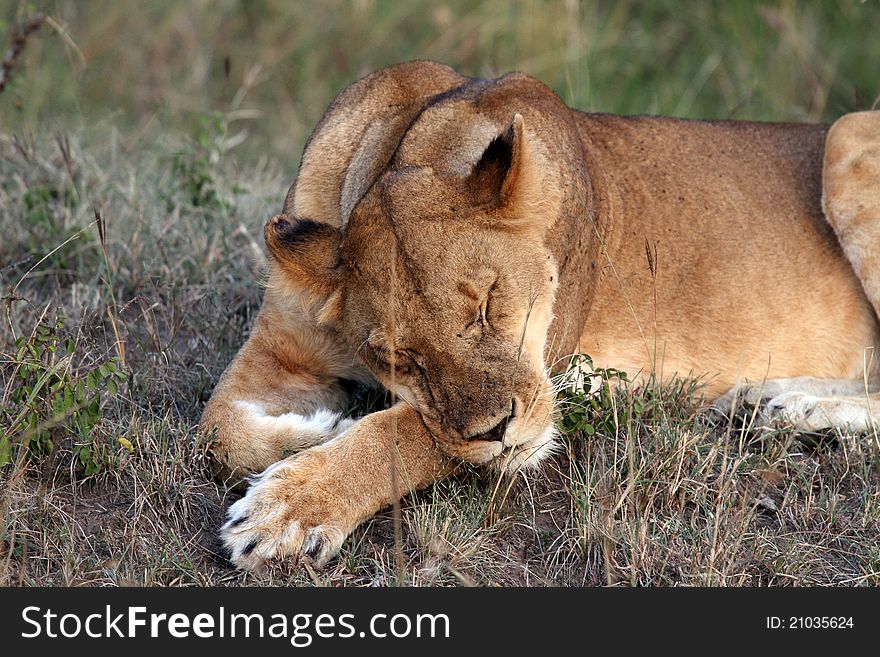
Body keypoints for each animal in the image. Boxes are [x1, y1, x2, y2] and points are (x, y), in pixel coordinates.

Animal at [199, 60, 880, 568]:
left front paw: (290, 507)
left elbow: (405, 434)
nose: (499, 432)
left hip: (848, 132)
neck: (402, 149)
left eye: (489, 302)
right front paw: (315, 430)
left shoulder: (558, 373)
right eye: (399, 356)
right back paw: (772, 401)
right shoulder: (280, 349)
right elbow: (218, 431)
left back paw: (802, 408)